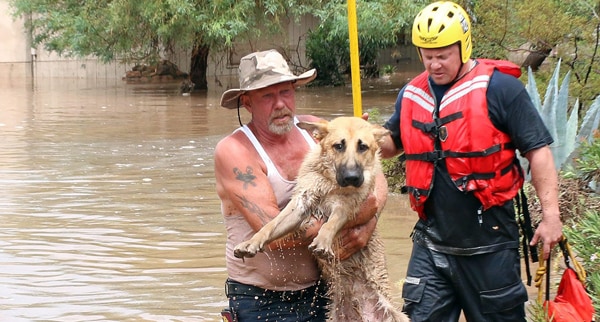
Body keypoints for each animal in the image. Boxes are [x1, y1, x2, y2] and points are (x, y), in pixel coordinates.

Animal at [233, 116, 408, 322]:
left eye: (363, 147)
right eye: (338, 146)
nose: (352, 177)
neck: (330, 180)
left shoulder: (345, 206)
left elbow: (329, 225)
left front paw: (323, 243)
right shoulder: (300, 204)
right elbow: (269, 225)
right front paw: (251, 243)